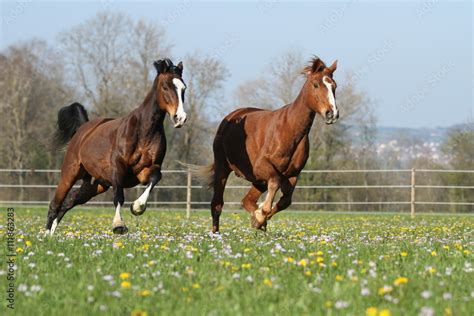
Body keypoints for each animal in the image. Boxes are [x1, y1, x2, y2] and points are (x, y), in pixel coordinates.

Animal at [45, 59, 187, 236]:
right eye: (165, 86)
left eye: (183, 88)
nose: (180, 118)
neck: (144, 130)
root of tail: (83, 129)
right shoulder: (118, 168)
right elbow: (119, 196)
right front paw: (118, 225)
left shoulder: (149, 169)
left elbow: (155, 178)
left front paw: (137, 207)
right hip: (70, 173)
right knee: (55, 203)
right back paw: (45, 235)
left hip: (96, 184)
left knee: (68, 201)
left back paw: (52, 234)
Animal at [206, 58, 338, 233]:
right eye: (316, 84)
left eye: (334, 86)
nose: (332, 114)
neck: (289, 130)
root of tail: (232, 117)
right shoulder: (262, 167)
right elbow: (275, 182)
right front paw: (261, 214)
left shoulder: (293, 174)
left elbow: (286, 200)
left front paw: (258, 218)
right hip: (223, 168)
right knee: (217, 204)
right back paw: (216, 234)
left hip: (259, 181)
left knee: (247, 200)